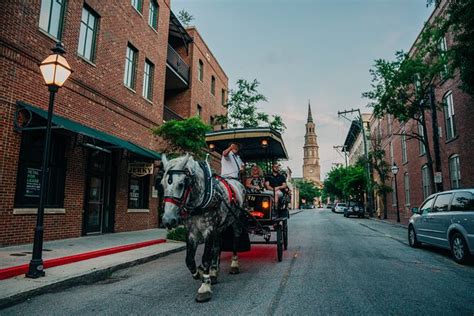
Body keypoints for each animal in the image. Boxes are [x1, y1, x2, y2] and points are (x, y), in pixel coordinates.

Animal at [161, 154, 246, 302]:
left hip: (236, 221)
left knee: (235, 241)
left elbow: (205, 258)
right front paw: (200, 274)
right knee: (218, 245)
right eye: (162, 184)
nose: (168, 220)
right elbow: (189, 260)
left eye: (181, 184)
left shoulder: (209, 230)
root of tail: (238, 183)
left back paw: (234, 265)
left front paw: (205, 286)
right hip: (219, 227)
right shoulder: (191, 232)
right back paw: (214, 271)